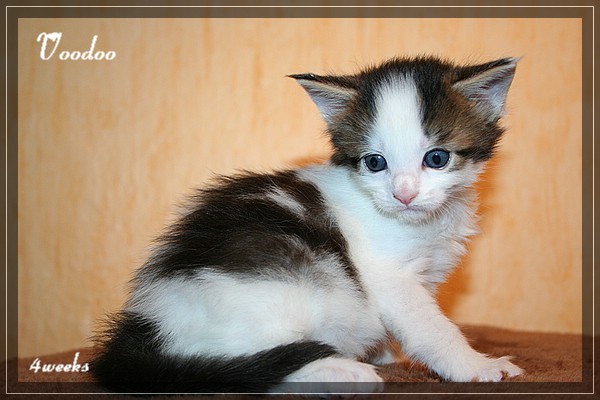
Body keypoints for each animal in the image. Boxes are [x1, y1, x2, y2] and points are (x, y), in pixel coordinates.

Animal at [91, 56, 522, 395]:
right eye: (375, 162)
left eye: (437, 158)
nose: (404, 194)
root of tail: (149, 318)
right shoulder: (389, 276)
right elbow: (428, 326)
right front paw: (475, 365)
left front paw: (384, 351)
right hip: (281, 289)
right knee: (245, 366)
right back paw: (340, 370)